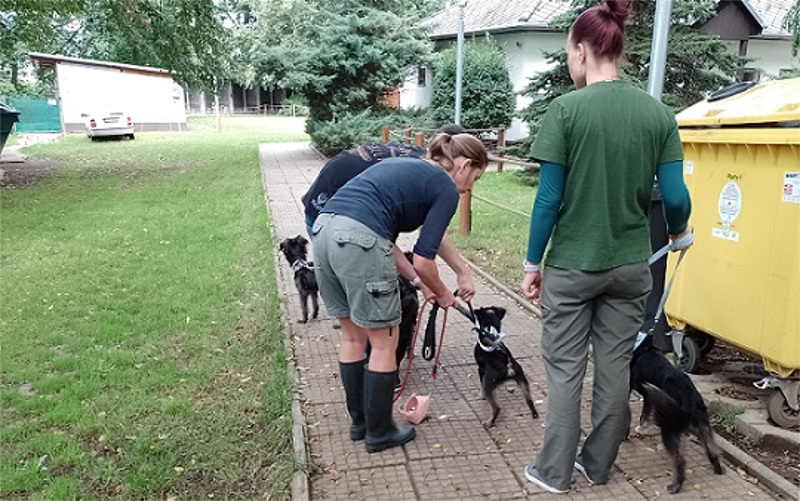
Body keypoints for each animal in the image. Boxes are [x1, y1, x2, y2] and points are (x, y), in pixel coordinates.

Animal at [632, 334, 724, 494]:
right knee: (711, 449)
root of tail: (689, 397)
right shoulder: (649, 397)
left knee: (680, 461)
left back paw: (675, 486)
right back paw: (717, 469)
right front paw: (642, 427)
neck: (645, 348)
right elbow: (646, 413)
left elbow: (644, 414)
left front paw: (640, 428)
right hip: (702, 424)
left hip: (669, 429)